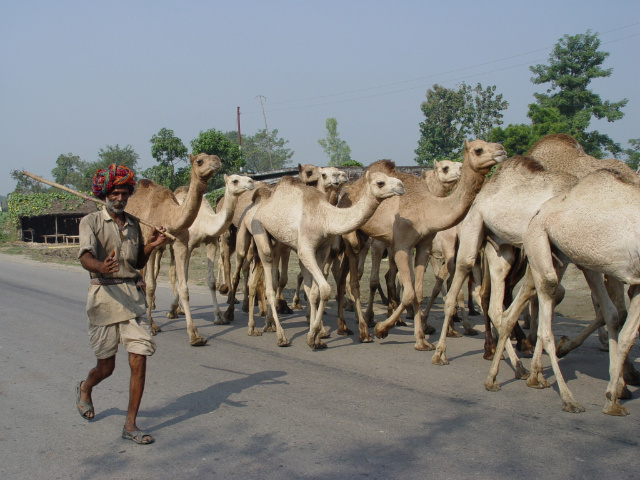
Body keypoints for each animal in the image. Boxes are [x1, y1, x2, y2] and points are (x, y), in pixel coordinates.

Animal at [125, 154, 222, 344]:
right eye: (199, 161)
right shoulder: (153, 245)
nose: (217, 161)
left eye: (213, 157)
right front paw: (152, 326)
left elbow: (183, 287)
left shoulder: (180, 244)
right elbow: (151, 285)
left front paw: (194, 335)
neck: (169, 216)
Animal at [165, 172, 255, 322]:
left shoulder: (211, 242)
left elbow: (211, 281)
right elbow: (184, 276)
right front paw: (172, 310)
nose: (251, 182)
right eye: (234, 180)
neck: (204, 221)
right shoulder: (188, 245)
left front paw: (218, 316)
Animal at [246, 172, 402, 348]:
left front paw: (317, 337)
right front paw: (314, 334)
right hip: (259, 231)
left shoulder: (322, 250)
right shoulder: (306, 250)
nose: (401, 185)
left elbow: (315, 291)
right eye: (380, 182)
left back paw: (266, 325)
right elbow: (326, 289)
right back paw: (279, 336)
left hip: (279, 242)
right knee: (268, 283)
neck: (325, 218)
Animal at [338, 140, 508, 348]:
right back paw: (364, 330)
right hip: (354, 238)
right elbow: (409, 292)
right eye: (478, 149)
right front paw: (382, 329)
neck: (426, 208)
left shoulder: (424, 246)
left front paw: (421, 340)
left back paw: (348, 325)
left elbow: (417, 291)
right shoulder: (402, 246)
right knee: (355, 279)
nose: (502, 150)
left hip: (364, 238)